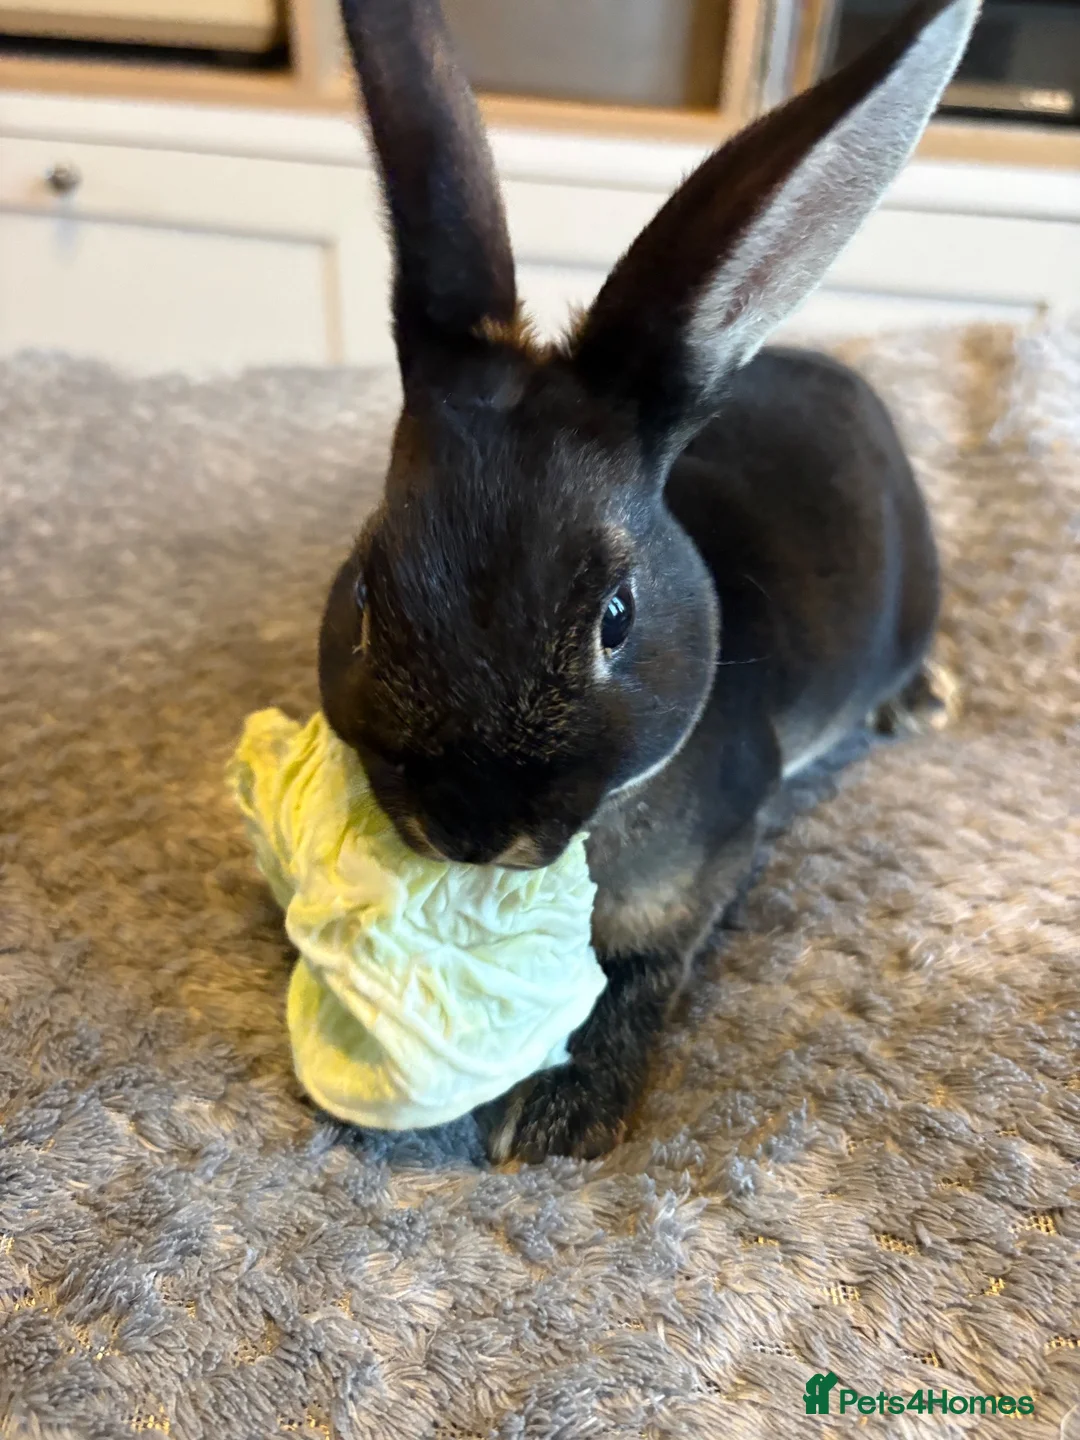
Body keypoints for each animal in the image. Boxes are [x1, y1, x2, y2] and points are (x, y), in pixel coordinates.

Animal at [319, 0, 980, 1161]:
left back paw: (921, 703)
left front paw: (559, 1119)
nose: (469, 828)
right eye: (364, 592)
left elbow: (641, 971)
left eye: (615, 620)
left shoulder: (705, 871)